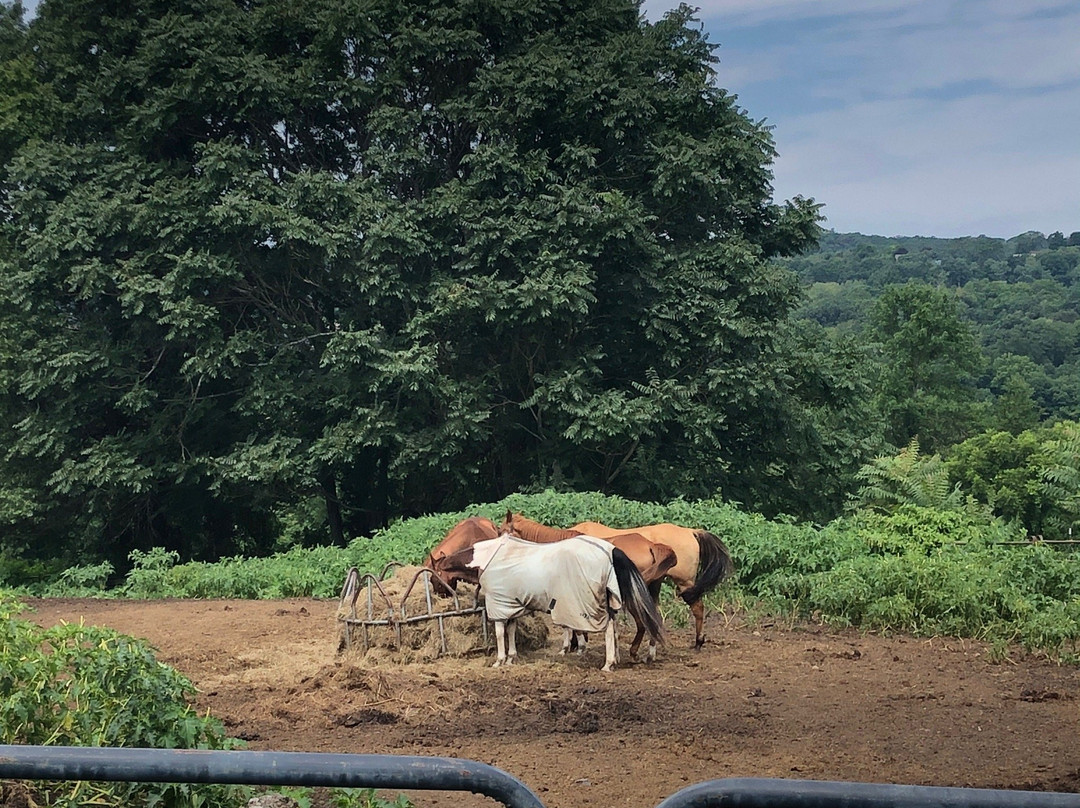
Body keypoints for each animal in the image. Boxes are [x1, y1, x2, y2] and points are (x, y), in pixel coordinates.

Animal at [498, 514, 673, 661]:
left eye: (501, 530)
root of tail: (651, 545)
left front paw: (574, 646)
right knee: (654, 619)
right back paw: (650, 654)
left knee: (642, 622)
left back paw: (634, 652)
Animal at [503, 512, 738, 648]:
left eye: (503, 529)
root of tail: (691, 531)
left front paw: (575, 644)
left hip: (683, 583)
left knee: (697, 608)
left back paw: (697, 642)